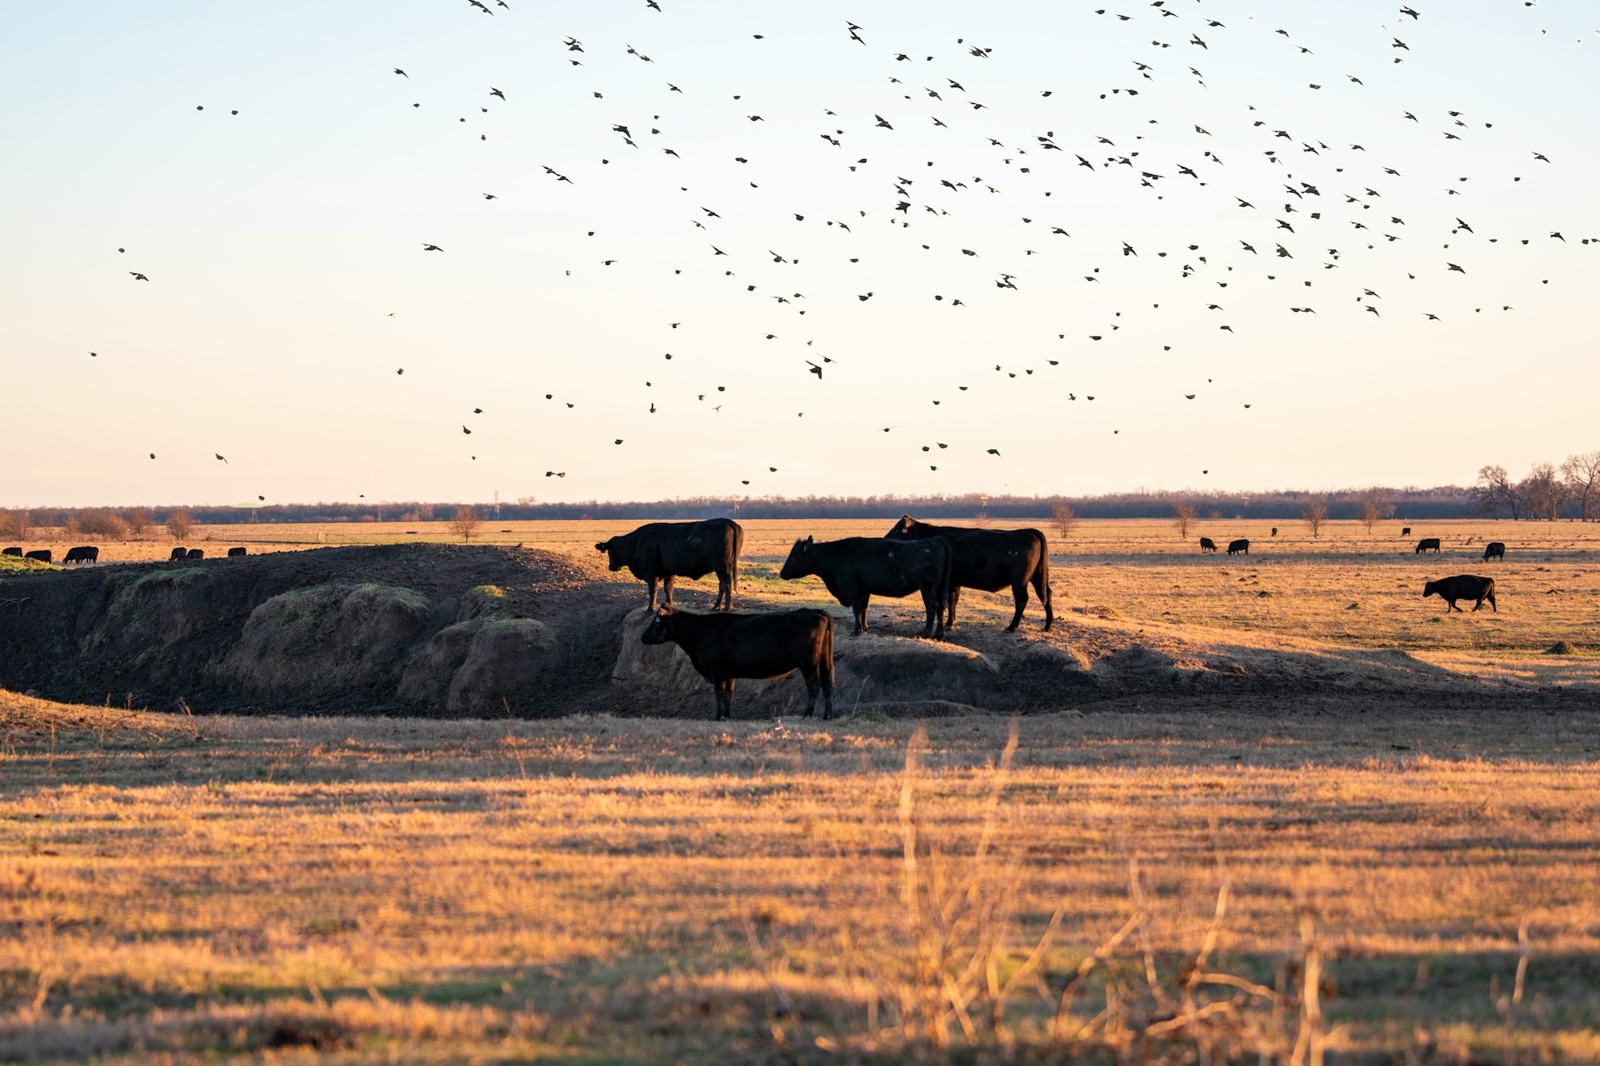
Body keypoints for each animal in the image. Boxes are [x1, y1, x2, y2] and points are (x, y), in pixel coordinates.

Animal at [595, 518, 744, 612]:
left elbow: (653, 590)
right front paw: (668, 605)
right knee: (722, 585)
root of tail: (727, 521)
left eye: (610, 550)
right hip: (723, 568)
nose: (611, 567)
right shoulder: (668, 572)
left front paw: (650, 608)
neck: (637, 542)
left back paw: (725, 607)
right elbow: (668, 588)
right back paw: (716, 607)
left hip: (722, 568)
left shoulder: (651, 573)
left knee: (726, 585)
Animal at [640, 607, 835, 720]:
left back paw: (807, 716)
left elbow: (719, 694)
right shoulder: (729, 673)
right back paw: (827, 716)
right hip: (825, 661)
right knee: (828, 685)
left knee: (814, 687)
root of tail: (817, 612)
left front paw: (718, 717)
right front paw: (727, 716)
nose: (643, 637)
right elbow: (729, 694)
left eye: (657, 622)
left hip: (808, 664)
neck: (701, 631)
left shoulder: (717, 672)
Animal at [781, 535, 950, 638]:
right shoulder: (864, 590)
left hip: (927, 586)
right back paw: (939, 634)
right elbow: (863, 609)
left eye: (794, 556)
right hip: (939, 588)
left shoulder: (853, 589)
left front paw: (857, 630)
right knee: (940, 607)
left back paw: (926, 632)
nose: (782, 573)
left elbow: (856, 609)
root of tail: (935, 539)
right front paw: (865, 628)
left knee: (932, 607)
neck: (836, 555)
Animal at [884, 515, 1052, 632]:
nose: (885, 539)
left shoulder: (946, 582)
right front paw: (951, 622)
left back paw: (1012, 627)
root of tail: (1030, 531)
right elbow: (953, 601)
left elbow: (947, 601)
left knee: (1022, 600)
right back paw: (1047, 626)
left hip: (1019, 581)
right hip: (1038, 577)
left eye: (898, 529)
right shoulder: (955, 582)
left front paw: (948, 623)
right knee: (1046, 595)